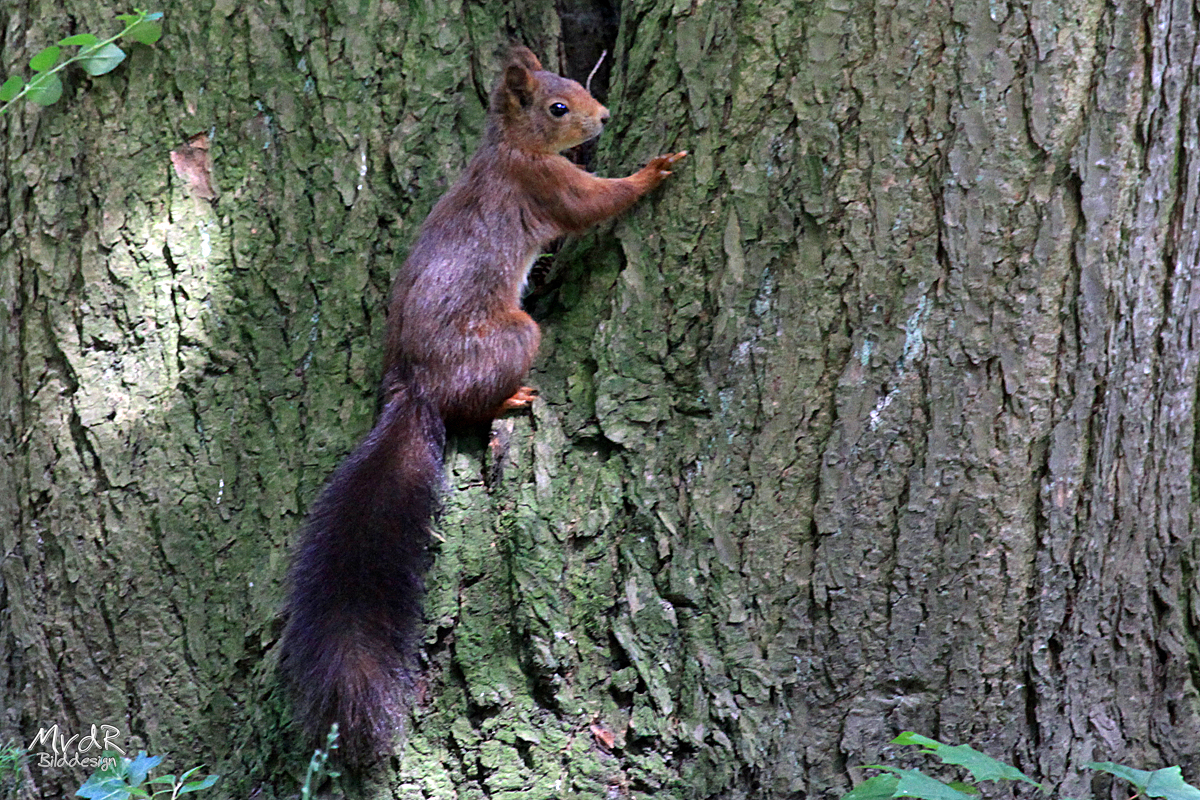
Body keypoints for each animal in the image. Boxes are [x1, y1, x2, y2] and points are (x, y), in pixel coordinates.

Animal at [274, 47, 686, 767]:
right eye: (558, 107)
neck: (508, 147)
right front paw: (653, 171)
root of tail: (414, 389)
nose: (605, 116)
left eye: (573, 84)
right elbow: (595, 202)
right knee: (473, 407)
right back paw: (512, 394)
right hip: (514, 334)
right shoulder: (544, 184)